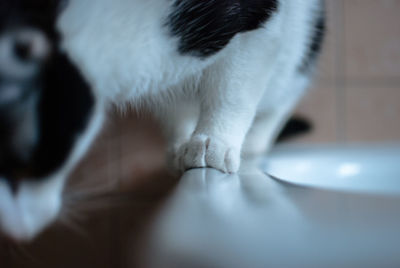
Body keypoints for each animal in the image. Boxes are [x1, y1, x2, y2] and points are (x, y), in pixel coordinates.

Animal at [0, 0, 324, 242]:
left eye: (25, 164)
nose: (15, 231)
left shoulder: (264, 20)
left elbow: (234, 90)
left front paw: (215, 142)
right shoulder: (163, 75)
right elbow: (174, 108)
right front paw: (181, 147)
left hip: (301, 50)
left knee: (280, 99)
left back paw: (254, 146)